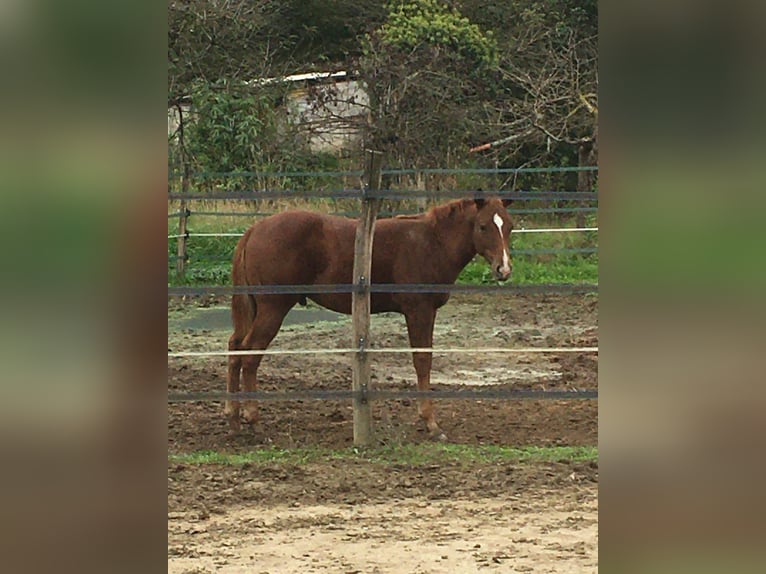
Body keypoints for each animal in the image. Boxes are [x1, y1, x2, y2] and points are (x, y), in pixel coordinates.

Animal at [228, 198, 516, 440]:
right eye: (482, 226)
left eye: (509, 226)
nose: (503, 269)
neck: (431, 242)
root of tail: (255, 229)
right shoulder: (419, 311)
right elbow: (423, 361)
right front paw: (431, 424)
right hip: (273, 308)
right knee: (250, 354)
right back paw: (254, 420)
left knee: (235, 348)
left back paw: (233, 417)